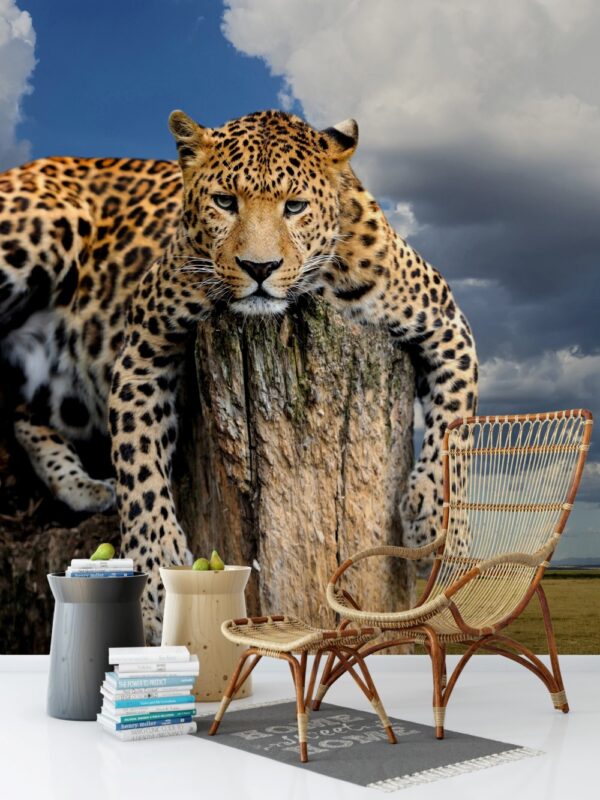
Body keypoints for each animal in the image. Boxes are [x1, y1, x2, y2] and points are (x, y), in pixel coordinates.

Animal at [0, 110, 478, 641]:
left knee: (21, 410)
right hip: (41, 231)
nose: (259, 267)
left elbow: (457, 422)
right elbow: (139, 467)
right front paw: (154, 583)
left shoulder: (446, 323)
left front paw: (435, 524)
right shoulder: (143, 346)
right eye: (225, 202)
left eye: (295, 206)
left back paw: (81, 486)